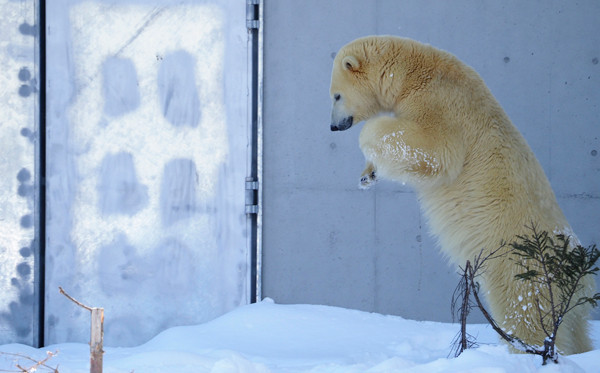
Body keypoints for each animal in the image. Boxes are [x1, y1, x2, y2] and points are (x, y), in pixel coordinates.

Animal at [330, 36, 592, 354]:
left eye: (336, 96)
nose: (334, 126)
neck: (413, 72)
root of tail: (579, 273)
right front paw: (367, 175)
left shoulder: (440, 103)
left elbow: (434, 148)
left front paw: (370, 138)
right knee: (578, 330)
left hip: (521, 269)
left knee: (525, 315)